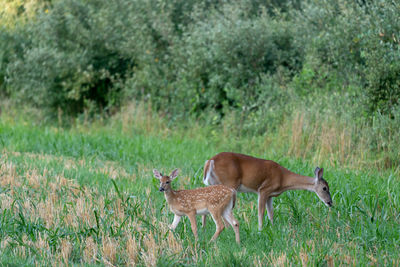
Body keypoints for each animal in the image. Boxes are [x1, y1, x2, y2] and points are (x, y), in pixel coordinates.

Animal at [202, 153, 332, 232]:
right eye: (325, 188)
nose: (330, 202)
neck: (283, 178)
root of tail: (210, 161)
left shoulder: (270, 195)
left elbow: (271, 213)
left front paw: (273, 228)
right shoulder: (264, 189)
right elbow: (261, 211)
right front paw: (260, 229)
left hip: (213, 184)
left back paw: (204, 228)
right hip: (229, 183)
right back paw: (228, 230)